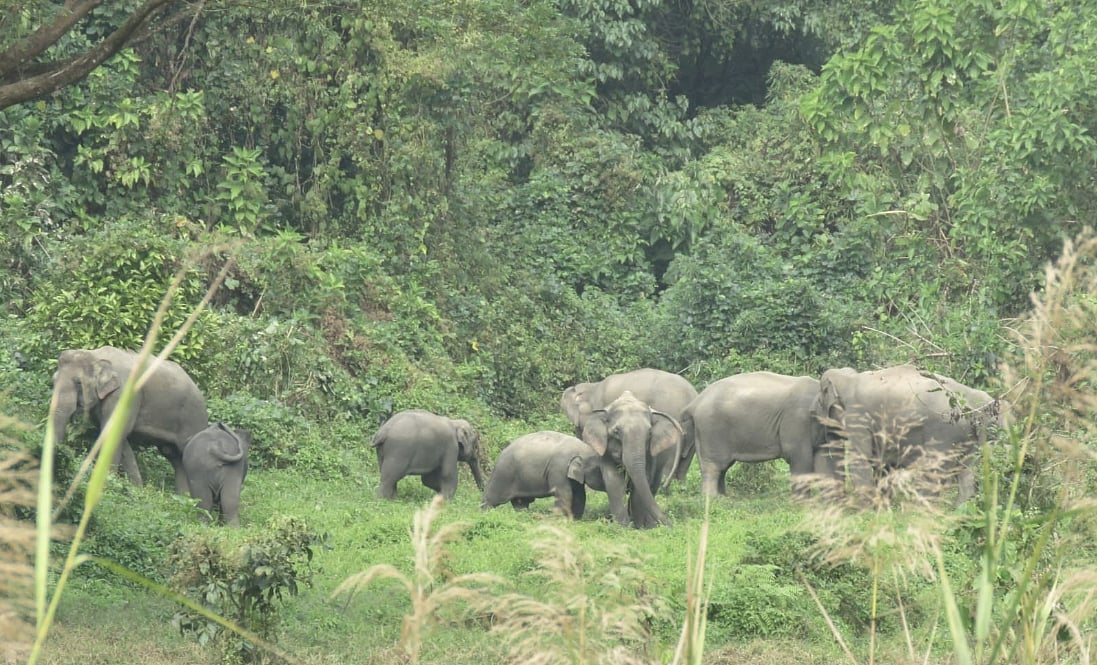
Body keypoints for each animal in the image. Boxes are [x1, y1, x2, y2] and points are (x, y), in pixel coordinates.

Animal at [50, 346, 209, 494]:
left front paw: (106, 486)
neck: (96, 355)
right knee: (175, 458)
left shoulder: (124, 394)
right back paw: (184, 499)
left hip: (194, 416)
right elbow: (119, 438)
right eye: (54, 380)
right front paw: (136, 489)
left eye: (78, 382)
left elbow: (112, 435)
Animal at [579, 391, 682, 529]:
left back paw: (649, 524)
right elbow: (614, 481)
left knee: (653, 485)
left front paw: (640, 527)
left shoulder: (650, 455)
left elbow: (643, 481)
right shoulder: (605, 452)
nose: (672, 525)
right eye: (616, 431)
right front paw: (623, 527)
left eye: (649, 433)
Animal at [679, 372, 823, 497]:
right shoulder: (797, 419)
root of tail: (695, 402)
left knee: (723, 467)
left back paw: (723, 497)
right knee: (713, 465)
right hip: (710, 429)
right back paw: (712, 499)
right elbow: (799, 456)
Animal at [811, 364, 1006, 503]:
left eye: (820, 401)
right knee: (968, 472)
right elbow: (883, 464)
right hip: (970, 436)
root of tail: (970, 406)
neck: (848, 378)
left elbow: (861, 460)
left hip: (943, 430)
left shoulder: (857, 417)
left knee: (933, 471)